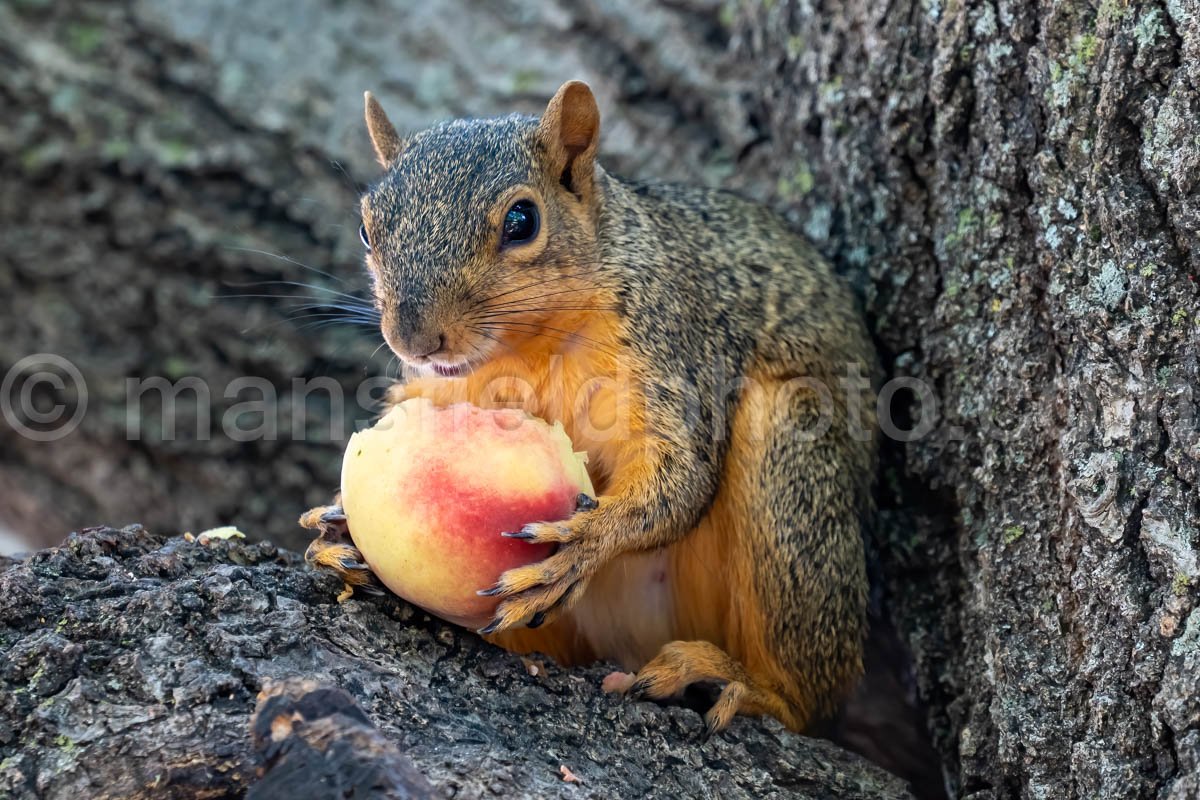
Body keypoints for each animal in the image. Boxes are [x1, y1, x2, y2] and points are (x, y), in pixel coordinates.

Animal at [300, 81, 878, 738]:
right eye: (367, 228)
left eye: (523, 221)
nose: (413, 341)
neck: (528, 346)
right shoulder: (437, 389)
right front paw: (332, 532)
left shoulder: (670, 349)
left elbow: (680, 477)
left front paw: (582, 544)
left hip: (790, 465)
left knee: (808, 697)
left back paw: (742, 683)